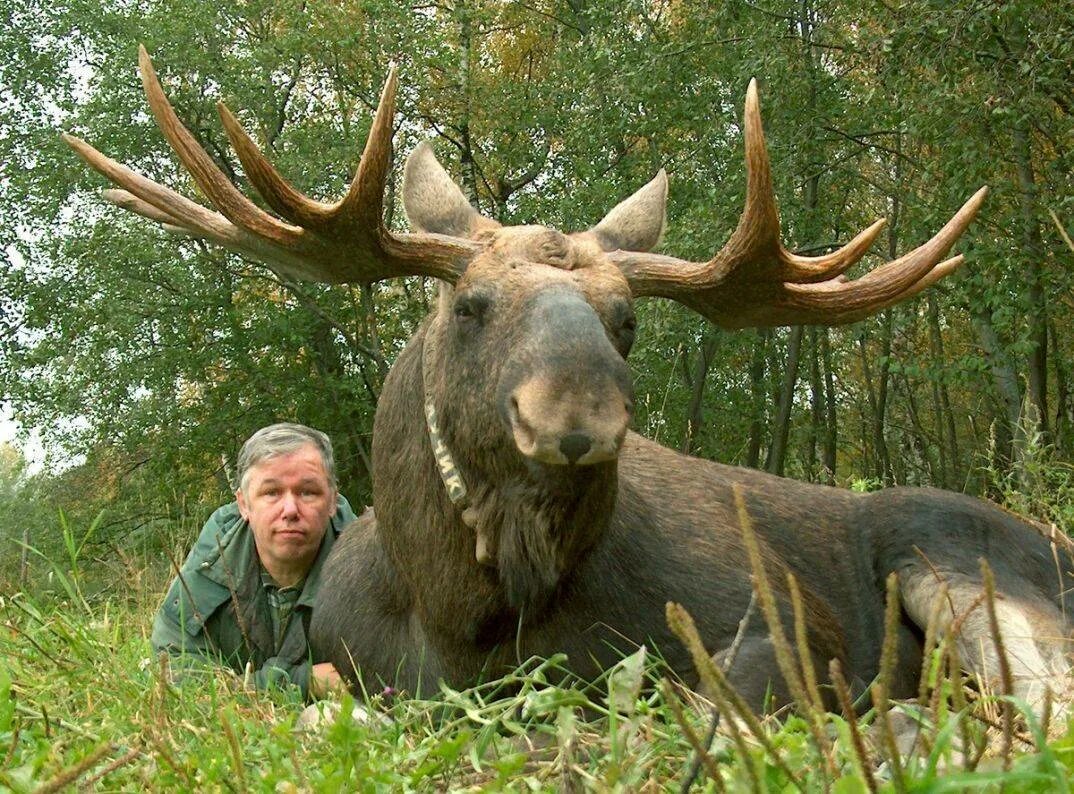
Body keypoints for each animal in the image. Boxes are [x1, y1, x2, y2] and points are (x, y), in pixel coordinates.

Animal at [69, 46, 1074, 709]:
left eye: (626, 320)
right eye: (469, 304)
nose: (577, 417)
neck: (469, 628)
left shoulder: (790, 619)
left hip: (968, 563)